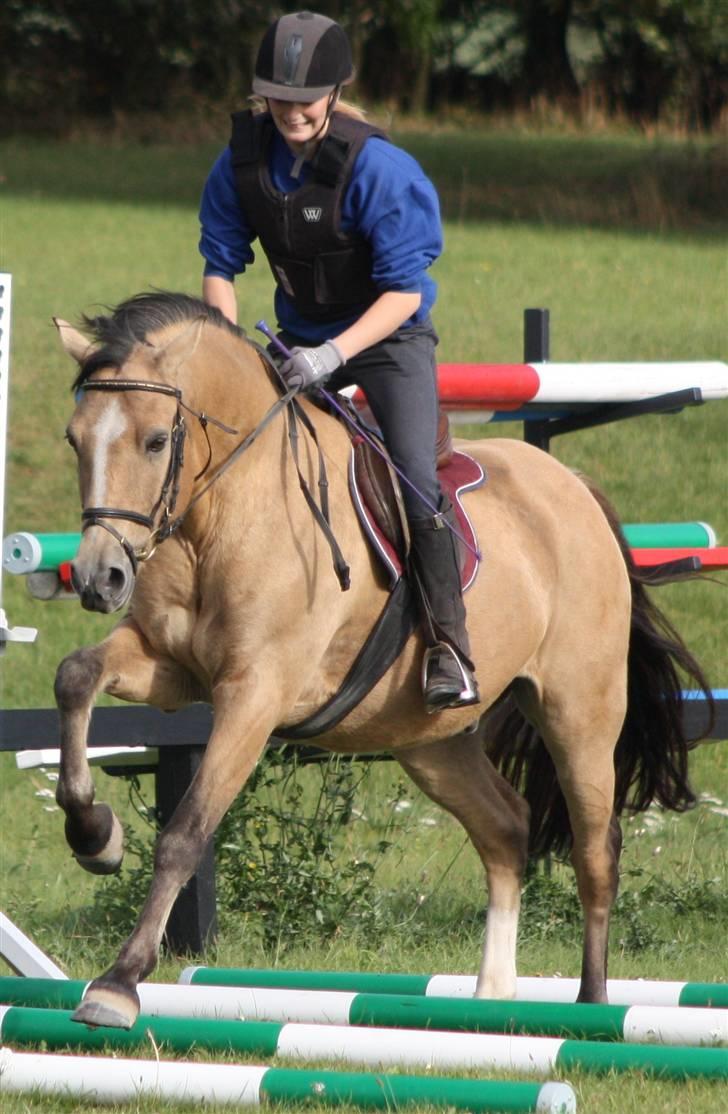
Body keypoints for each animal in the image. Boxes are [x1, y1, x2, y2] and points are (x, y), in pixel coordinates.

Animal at [52, 291, 712, 1029]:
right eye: (75, 439)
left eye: (155, 442)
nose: (99, 579)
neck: (220, 514)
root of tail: (573, 487)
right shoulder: (170, 667)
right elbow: (76, 676)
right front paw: (94, 835)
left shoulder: (255, 692)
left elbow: (185, 833)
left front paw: (118, 984)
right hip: (429, 739)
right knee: (506, 828)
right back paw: (491, 998)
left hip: (579, 712)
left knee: (596, 850)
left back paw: (591, 1008)